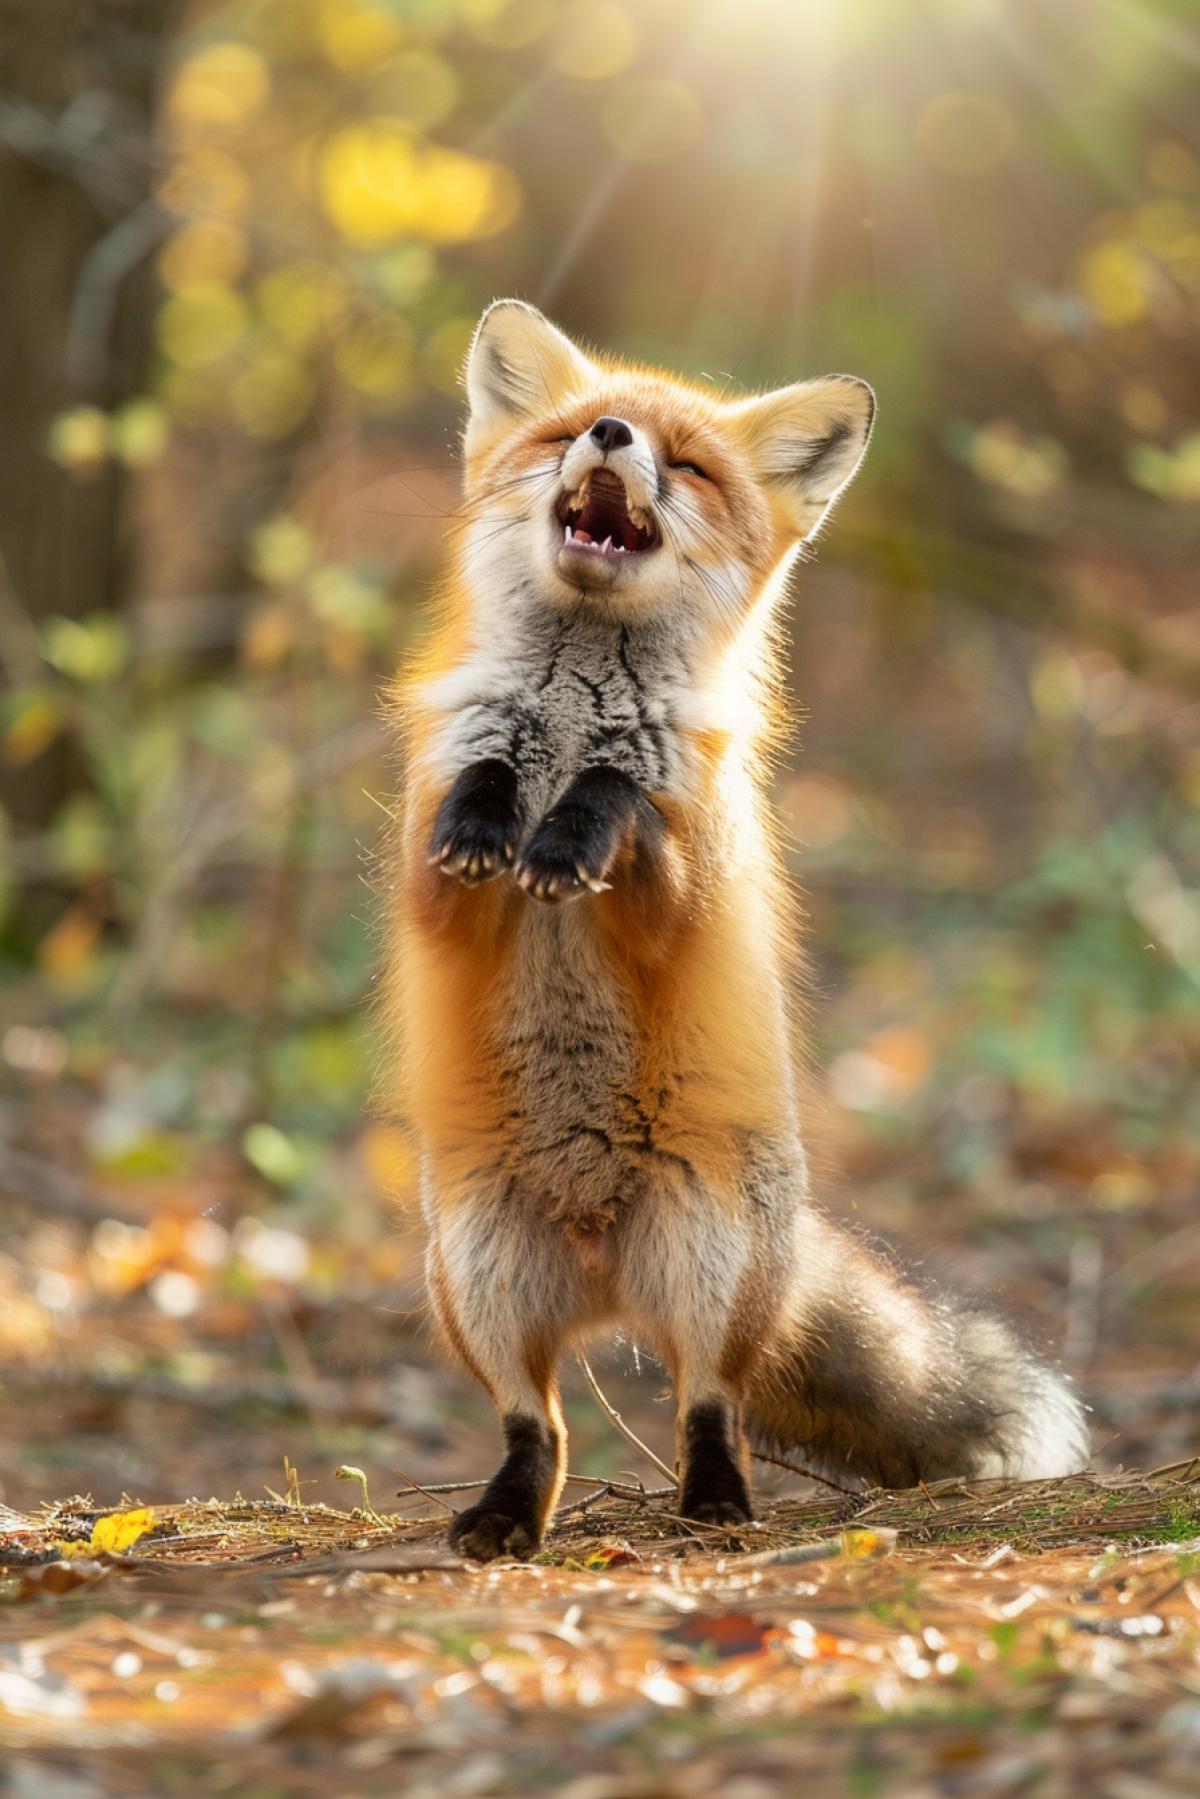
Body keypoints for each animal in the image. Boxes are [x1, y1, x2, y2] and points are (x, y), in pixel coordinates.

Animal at [383, 299, 1089, 1562]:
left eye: (694, 464)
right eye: (565, 431)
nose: (611, 434)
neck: (571, 716)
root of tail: (604, 1273)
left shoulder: (685, 879)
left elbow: (625, 799)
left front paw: (574, 827)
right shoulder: (433, 875)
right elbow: (472, 792)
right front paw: (493, 813)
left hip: (705, 1266)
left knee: (708, 1400)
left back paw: (714, 1501)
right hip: (479, 1282)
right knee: (542, 1426)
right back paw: (505, 1513)